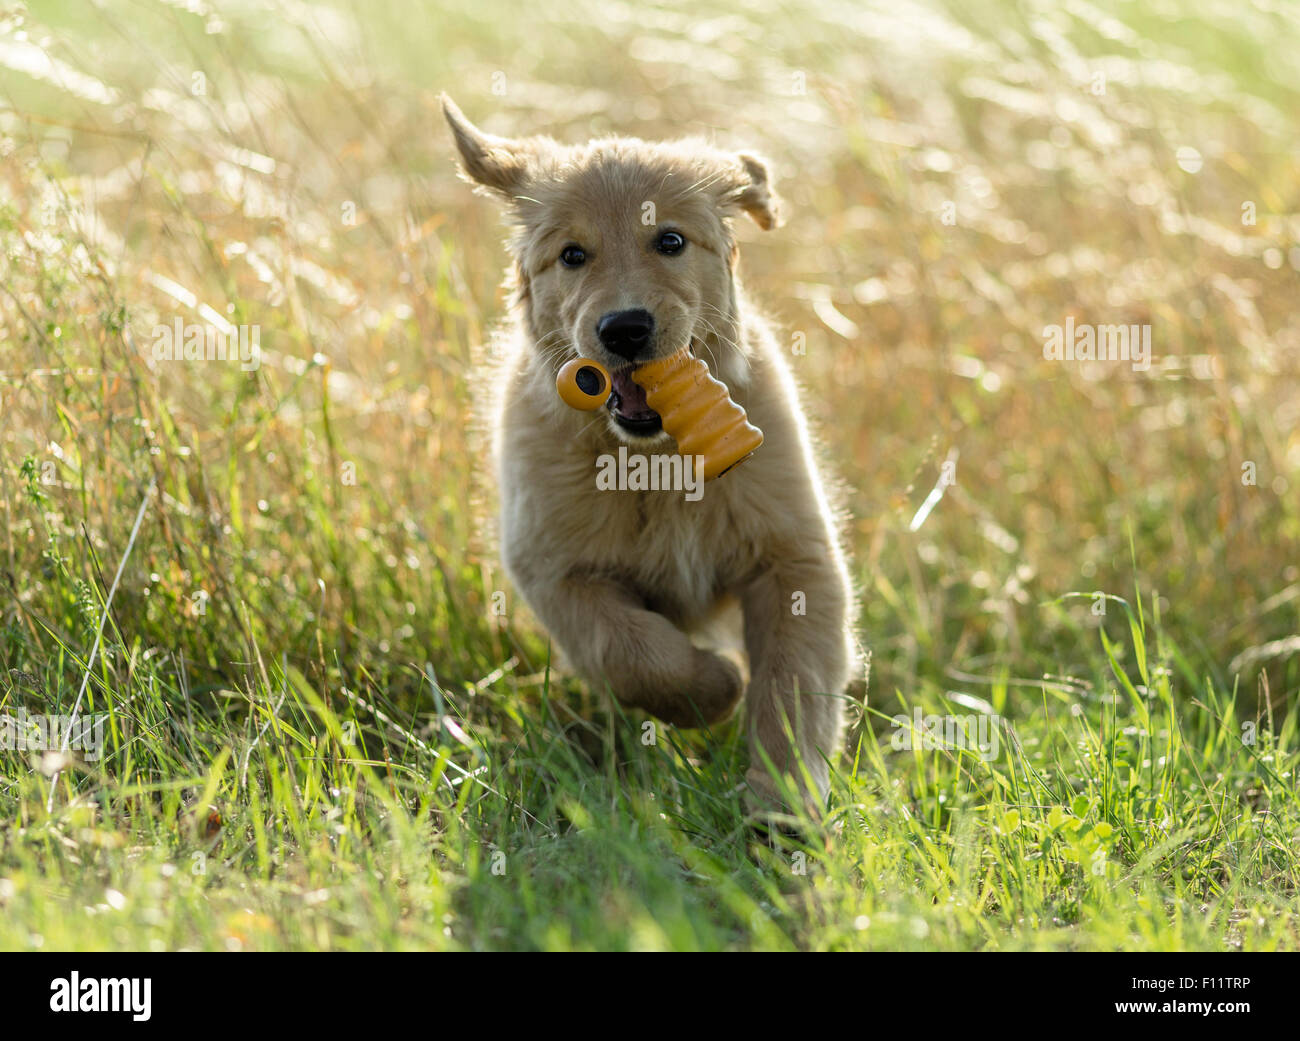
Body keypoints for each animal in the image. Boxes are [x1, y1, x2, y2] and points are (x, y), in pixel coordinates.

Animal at [441, 95, 857, 810]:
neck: (657, 459)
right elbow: (633, 653)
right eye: (572, 254)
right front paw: (716, 687)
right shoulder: (556, 570)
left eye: (670, 241)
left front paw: (783, 806)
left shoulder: (795, 556)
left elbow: (794, 684)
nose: (625, 329)